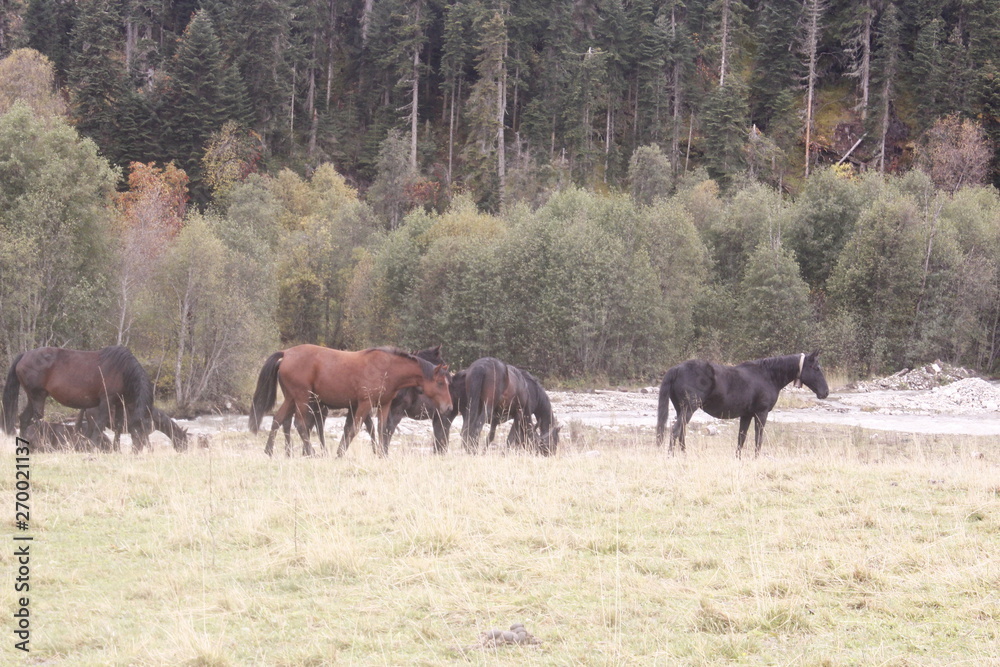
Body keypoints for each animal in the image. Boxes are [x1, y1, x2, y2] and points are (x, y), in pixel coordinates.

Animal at [2, 348, 155, 452]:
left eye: (146, 430)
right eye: (138, 431)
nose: (137, 451)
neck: (122, 370)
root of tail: (24, 355)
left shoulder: (118, 402)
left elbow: (117, 426)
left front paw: (116, 450)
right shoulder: (106, 400)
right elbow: (99, 424)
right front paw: (93, 446)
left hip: (33, 397)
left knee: (24, 419)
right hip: (37, 396)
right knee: (37, 420)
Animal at [250, 344, 454, 460]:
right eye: (440, 383)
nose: (449, 406)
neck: (388, 368)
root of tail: (286, 353)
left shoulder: (384, 405)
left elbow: (381, 429)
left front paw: (382, 454)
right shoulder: (364, 404)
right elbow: (355, 429)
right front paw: (342, 454)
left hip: (291, 398)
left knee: (278, 419)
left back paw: (269, 451)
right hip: (302, 399)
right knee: (299, 424)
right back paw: (310, 452)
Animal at [656, 352, 828, 456]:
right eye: (816, 368)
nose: (825, 392)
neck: (767, 376)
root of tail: (677, 368)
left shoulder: (746, 415)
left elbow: (741, 438)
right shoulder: (761, 414)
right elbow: (758, 439)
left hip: (681, 410)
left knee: (681, 433)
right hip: (688, 410)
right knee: (675, 431)